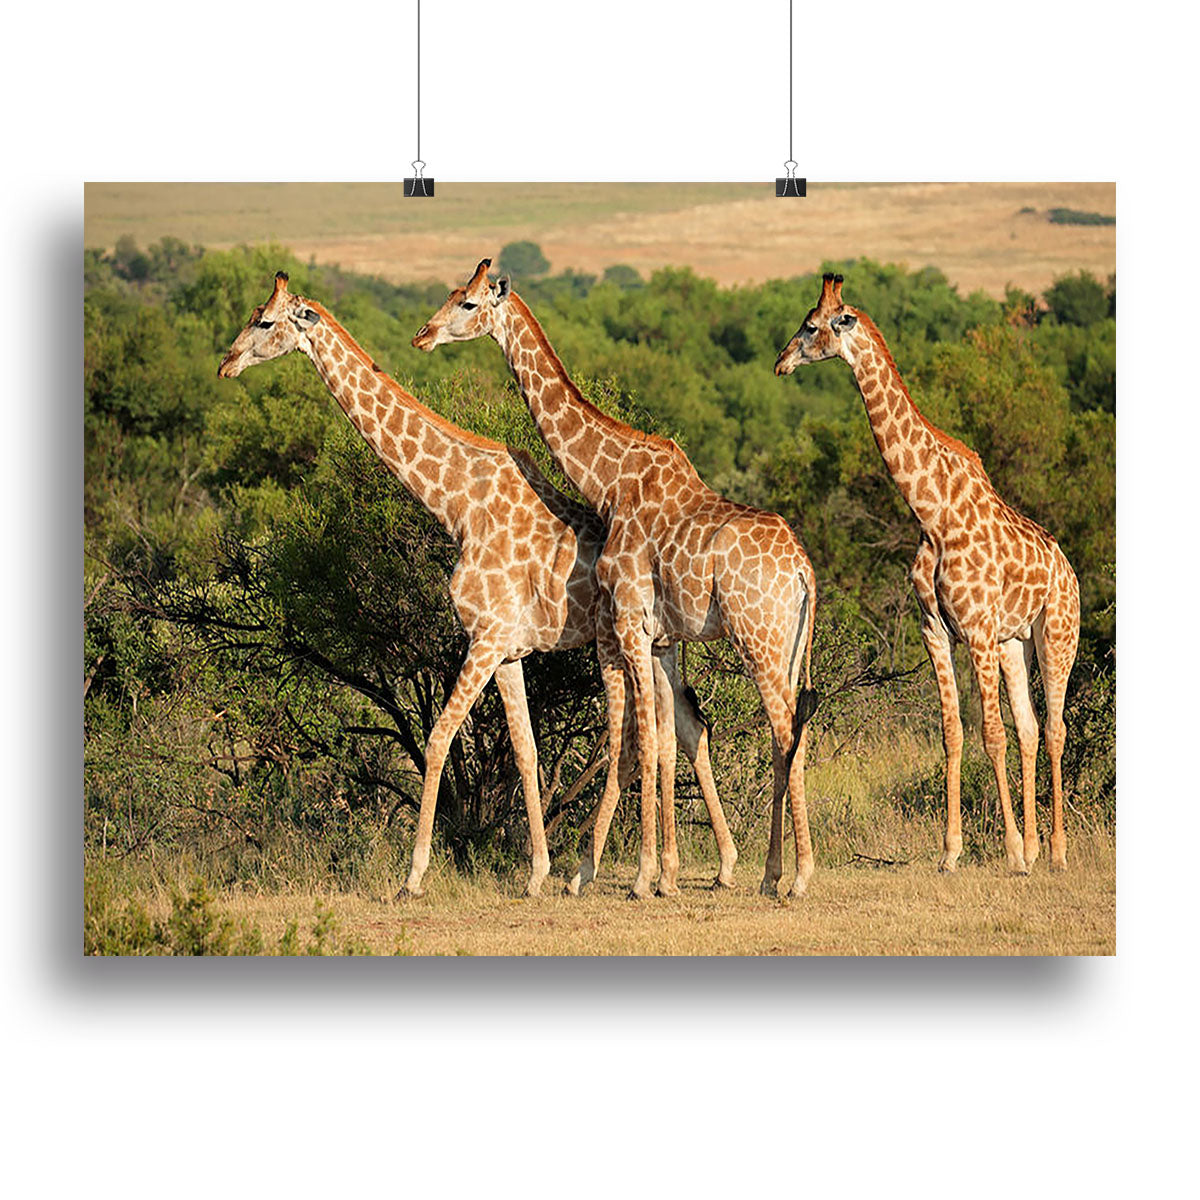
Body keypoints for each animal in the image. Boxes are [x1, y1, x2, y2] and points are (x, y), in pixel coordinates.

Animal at [217, 271, 738, 897]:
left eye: (265, 321)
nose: (226, 363)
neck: (457, 504)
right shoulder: (507, 650)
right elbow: (526, 750)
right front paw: (536, 872)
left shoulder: (484, 638)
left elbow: (439, 737)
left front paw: (414, 875)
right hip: (659, 644)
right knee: (682, 727)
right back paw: (696, 867)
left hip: (619, 642)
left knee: (639, 738)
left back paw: (623, 872)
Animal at [414, 260, 818, 899]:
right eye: (453, 295)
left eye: (469, 304)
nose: (424, 335)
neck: (609, 479)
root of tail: (804, 569)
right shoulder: (656, 635)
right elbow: (662, 738)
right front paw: (659, 873)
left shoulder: (629, 622)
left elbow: (644, 741)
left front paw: (641, 876)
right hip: (788, 643)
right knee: (792, 732)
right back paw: (772, 873)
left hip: (761, 638)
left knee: (784, 732)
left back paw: (795, 876)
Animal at [775, 274, 1080, 872]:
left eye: (812, 325)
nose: (781, 362)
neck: (930, 511)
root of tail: (1070, 571)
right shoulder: (935, 629)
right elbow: (952, 732)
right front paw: (952, 851)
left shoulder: (977, 631)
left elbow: (990, 734)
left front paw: (1010, 852)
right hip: (1016, 641)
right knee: (1032, 728)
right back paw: (1038, 847)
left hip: (1058, 633)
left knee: (1055, 728)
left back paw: (1054, 853)